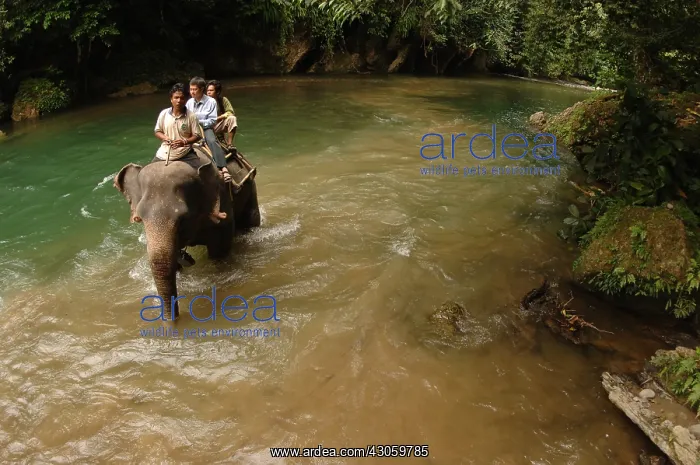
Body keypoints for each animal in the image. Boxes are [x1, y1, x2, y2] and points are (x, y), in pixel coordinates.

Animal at [114, 148, 260, 320]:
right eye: (140, 218)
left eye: (183, 218)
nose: (172, 321)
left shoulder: (222, 203)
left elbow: (219, 251)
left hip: (250, 188)